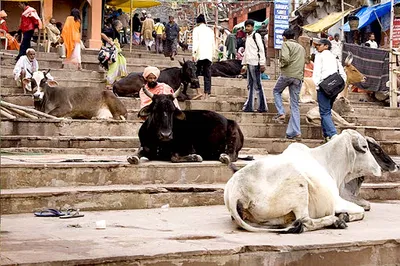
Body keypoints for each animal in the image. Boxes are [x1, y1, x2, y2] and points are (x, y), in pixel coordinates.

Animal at [225, 129, 382, 233]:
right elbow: (362, 211)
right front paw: (344, 216)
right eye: (366, 147)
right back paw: (336, 221)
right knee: (306, 221)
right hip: (299, 188)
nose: (379, 168)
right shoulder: (337, 201)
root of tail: (235, 190)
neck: (328, 161)